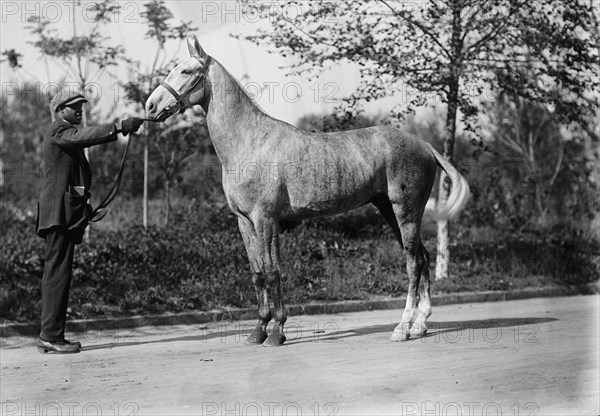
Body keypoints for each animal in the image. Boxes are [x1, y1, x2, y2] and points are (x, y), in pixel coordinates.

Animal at [144, 35, 468, 346]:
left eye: (186, 71)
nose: (150, 106)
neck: (250, 142)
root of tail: (424, 145)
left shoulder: (266, 219)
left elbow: (273, 271)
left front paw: (277, 332)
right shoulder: (244, 221)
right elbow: (257, 273)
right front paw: (257, 331)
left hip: (406, 210)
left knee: (413, 262)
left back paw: (402, 328)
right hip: (388, 209)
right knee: (423, 256)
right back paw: (420, 325)